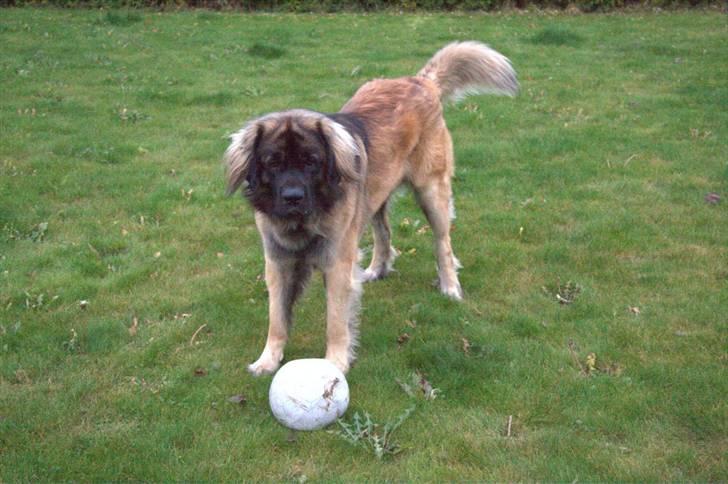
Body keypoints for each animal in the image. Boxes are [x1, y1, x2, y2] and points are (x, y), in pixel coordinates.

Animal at [225, 41, 516, 374]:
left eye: (312, 161)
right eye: (272, 162)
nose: (293, 197)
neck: (303, 220)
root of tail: (420, 81)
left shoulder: (337, 263)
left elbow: (335, 321)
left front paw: (335, 364)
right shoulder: (277, 261)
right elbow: (277, 317)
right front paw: (268, 359)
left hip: (431, 192)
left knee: (442, 242)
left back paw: (449, 286)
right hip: (374, 196)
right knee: (384, 232)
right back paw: (378, 268)